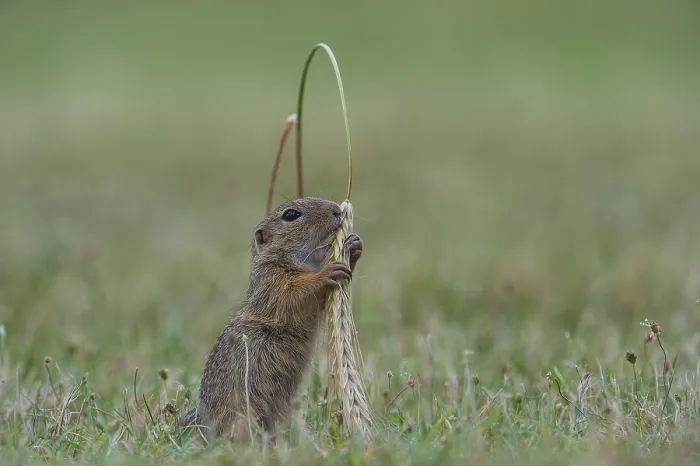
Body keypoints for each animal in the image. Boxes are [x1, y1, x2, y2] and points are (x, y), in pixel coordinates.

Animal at [180, 197, 363, 442]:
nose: (337, 210)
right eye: (291, 215)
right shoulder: (275, 282)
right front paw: (328, 271)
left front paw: (352, 246)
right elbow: (296, 294)